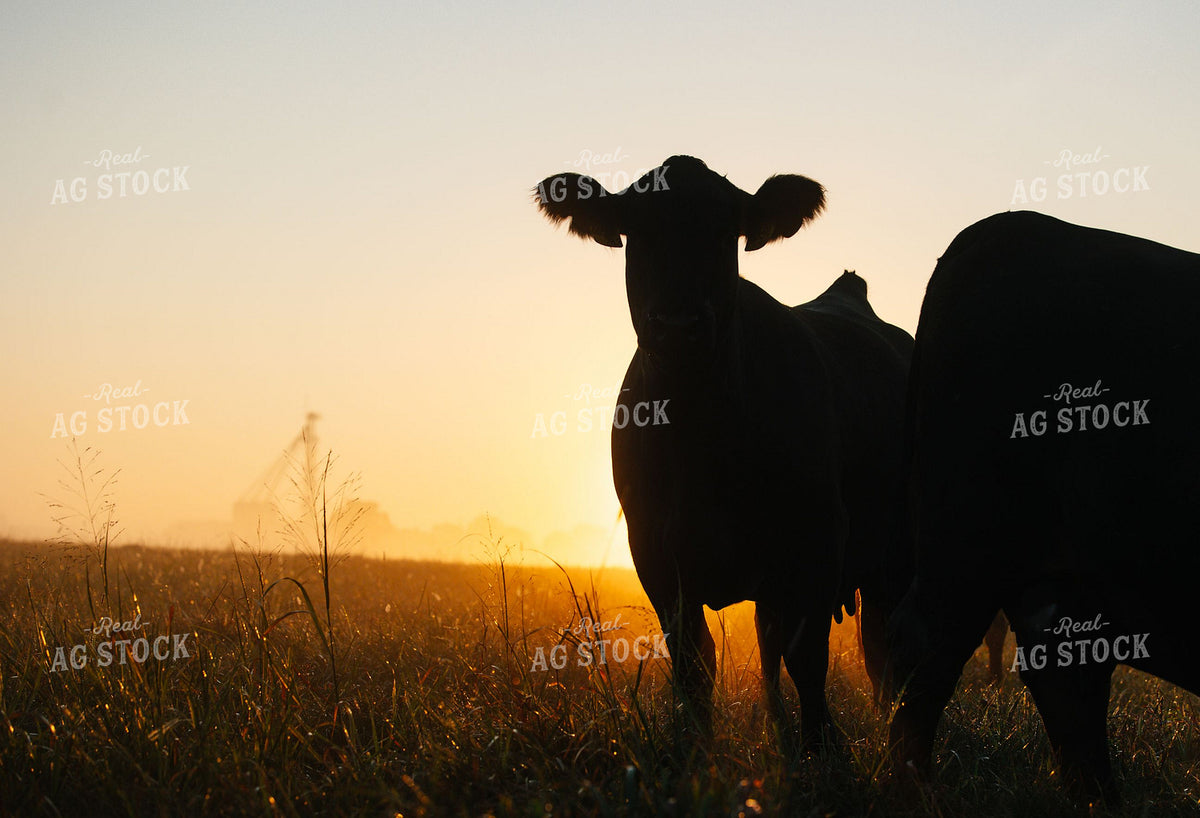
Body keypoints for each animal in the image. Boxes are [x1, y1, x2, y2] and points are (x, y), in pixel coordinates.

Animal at [533, 156, 912, 745]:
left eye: (724, 231)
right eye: (636, 230)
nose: (677, 325)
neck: (702, 435)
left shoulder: (818, 537)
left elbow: (808, 658)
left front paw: (822, 745)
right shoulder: (654, 549)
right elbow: (695, 661)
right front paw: (696, 746)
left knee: (885, 648)